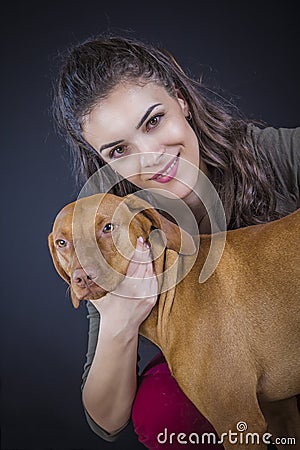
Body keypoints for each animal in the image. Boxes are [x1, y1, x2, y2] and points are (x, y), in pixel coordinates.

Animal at [49, 192, 300, 448]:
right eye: (62, 242)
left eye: (108, 227)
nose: (82, 278)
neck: (171, 288)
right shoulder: (280, 412)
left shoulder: (240, 421)